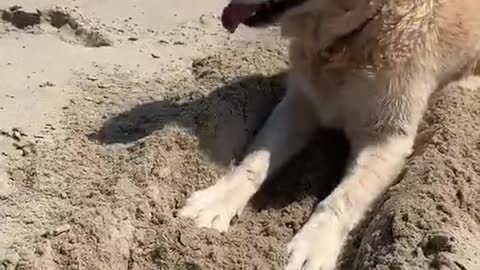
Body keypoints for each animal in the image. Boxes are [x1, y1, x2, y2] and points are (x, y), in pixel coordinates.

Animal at [179, 1, 480, 268]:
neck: (348, 39)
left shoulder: (387, 138)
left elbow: (343, 198)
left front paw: (312, 245)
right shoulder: (300, 102)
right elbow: (254, 162)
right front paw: (217, 201)